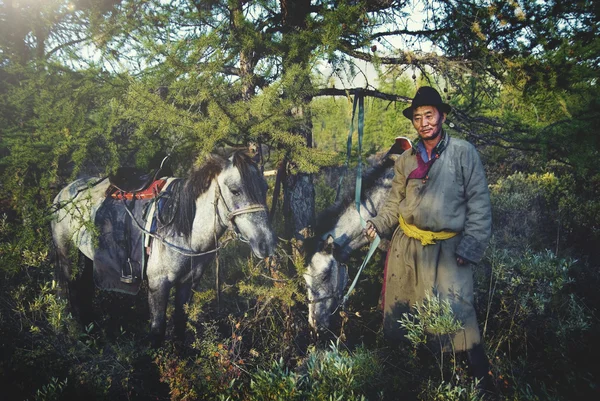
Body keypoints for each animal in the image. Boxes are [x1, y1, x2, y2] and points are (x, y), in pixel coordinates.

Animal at [51, 149, 276, 344]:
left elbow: (180, 324)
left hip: (87, 257)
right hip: (66, 254)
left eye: (265, 188)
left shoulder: (188, 284)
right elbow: (157, 331)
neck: (185, 232)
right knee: (67, 290)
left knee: (84, 289)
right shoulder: (158, 285)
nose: (266, 244)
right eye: (235, 191)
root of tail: (64, 192)